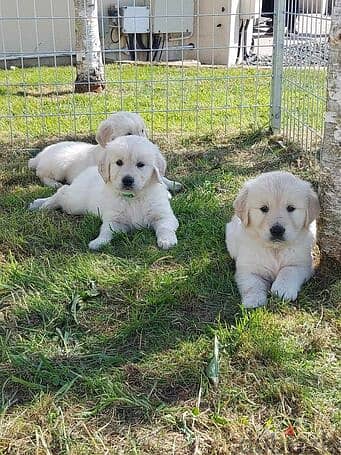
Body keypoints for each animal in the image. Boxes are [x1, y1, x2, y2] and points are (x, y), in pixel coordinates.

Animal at [27, 112, 181, 194]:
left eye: (142, 130)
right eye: (128, 133)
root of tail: (40, 156)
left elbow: (160, 176)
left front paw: (172, 183)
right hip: (58, 167)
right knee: (41, 174)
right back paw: (54, 184)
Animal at [27, 137, 179, 253]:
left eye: (140, 164)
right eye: (119, 162)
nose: (127, 180)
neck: (133, 197)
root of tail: (87, 170)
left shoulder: (164, 215)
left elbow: (165, 227)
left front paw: (167, 240)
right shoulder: (114, 220)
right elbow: (106, 231)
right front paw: (98, 242)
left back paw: (38, 203)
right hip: (74, 203)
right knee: (62, 190)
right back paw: (43, 204)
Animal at [226, 172, 318, 310]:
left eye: (291, 208)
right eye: (264, 208)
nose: (277, 230)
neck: (275, 249)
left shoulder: (302, 265)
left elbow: (288, 271)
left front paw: (283, 290)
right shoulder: (248, 269)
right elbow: (252, 284)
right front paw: (254, 300)